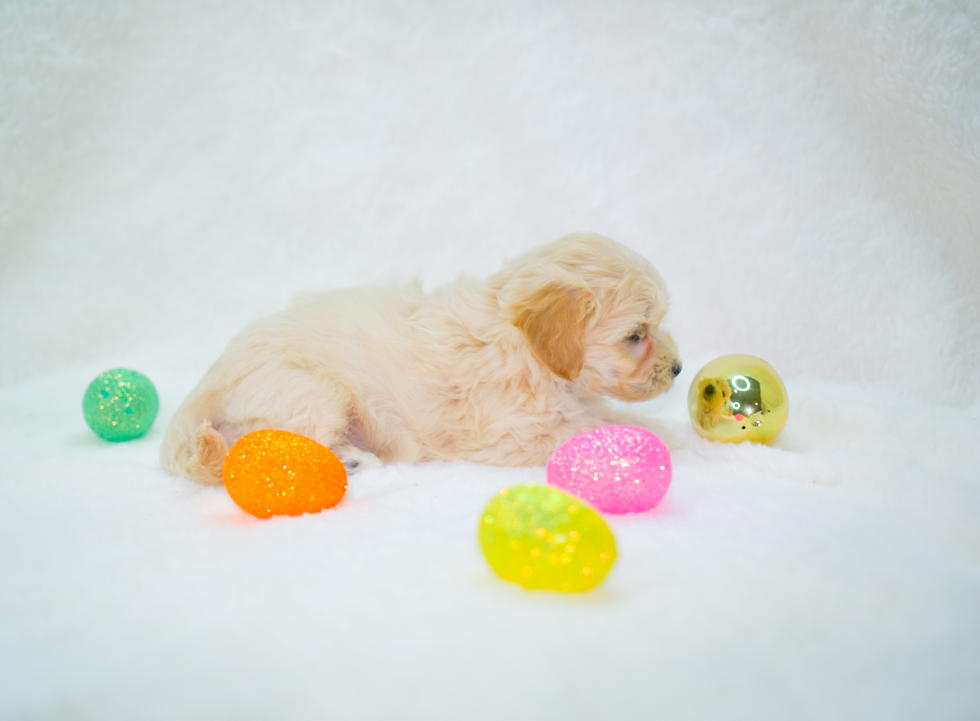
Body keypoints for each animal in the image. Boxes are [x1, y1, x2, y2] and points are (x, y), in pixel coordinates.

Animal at [161, 235, 680, 484]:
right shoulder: (513, 434)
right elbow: (595, 427)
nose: (677, 368)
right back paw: (350, 459)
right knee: (266, 447)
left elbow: (601, 413)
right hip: (315, 392)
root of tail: (209, 377)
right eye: (636, 335)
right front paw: (658, 438)